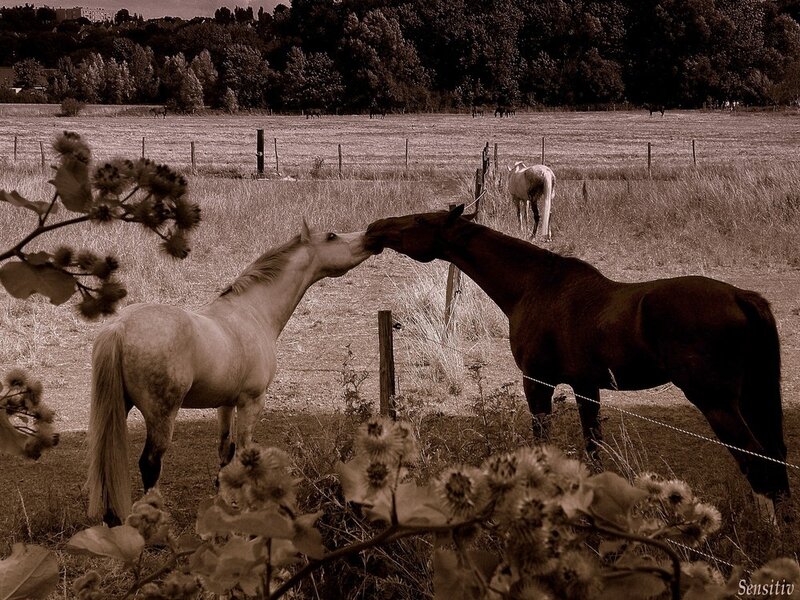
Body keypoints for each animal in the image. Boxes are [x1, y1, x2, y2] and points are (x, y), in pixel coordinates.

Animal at [87, 223, 372, 525]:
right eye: (332, 236)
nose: (370, 237)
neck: (252, 312)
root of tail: (119, 326)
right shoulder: (251, 402)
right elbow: (246, 452)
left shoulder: (225, 404)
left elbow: (226, 451)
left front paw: (223, 501)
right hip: (161, 415)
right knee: (150, 463)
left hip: (120, 407)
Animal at [364, 205, 790, 508]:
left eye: (420, 220)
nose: (374, 228)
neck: (534, 286)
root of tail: (741, 296)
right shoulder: (588, 388)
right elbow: (594, 448)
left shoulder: (537, 383)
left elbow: (542, 442)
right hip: (749, 397)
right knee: (775, 458)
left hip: (716, 403)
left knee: (758, 462)